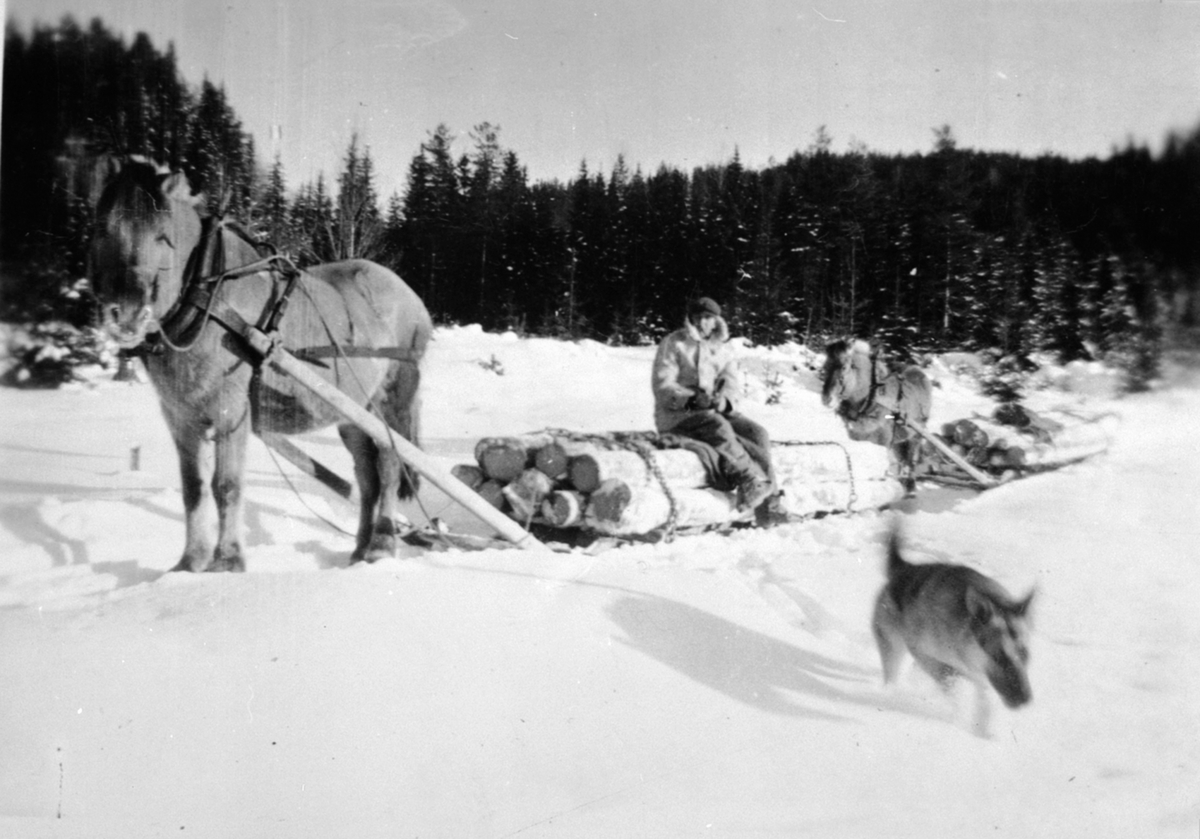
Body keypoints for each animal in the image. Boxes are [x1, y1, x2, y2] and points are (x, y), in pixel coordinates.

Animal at [90, 159, 436, 571]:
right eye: (104, 229)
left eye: (163, 237)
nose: (126, 315)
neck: (209, 299)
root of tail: (410, 296)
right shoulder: (181, 417)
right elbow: (193, 489)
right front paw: (190, 563)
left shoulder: (231, 409)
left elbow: (226, 485)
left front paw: (227, 561)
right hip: (353, 412)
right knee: (367, 478)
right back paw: (358, 550)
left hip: (389, 402)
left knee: (388, 467)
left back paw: (382, 545)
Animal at [873, 525, 1032, 734]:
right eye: (998, 655)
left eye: (1025, 655)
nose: (1025, 698)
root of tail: (904, 568)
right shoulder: (922, 651)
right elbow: (948, 679)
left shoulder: (977, 675)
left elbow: (982, 700)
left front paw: (982, 728)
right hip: (893, 645)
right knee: (893, 674)